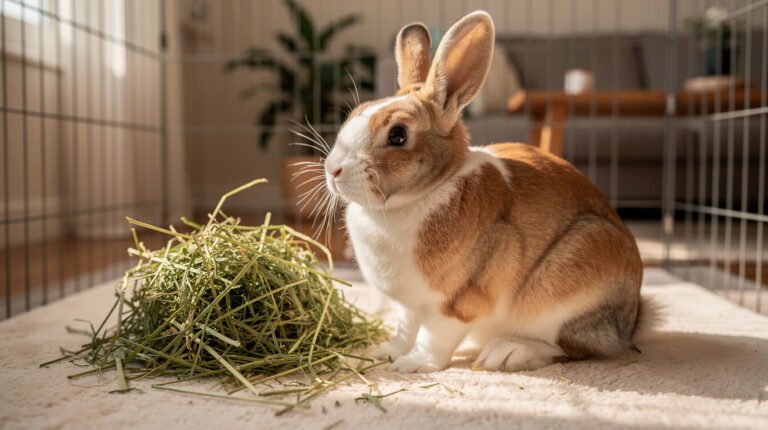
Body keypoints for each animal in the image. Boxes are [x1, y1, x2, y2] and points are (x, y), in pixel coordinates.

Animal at [322, 10, 643, 373]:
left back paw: (506, 353)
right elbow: (406, 328)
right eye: (353, 114)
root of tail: (629, 323)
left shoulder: (459, 301)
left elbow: (434, 336)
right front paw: (385, 352)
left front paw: (412, 365)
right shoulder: (409, 305)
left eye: (398, 135)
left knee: (572, 347)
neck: (423, 195)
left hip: (566, 287)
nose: (332, 169)